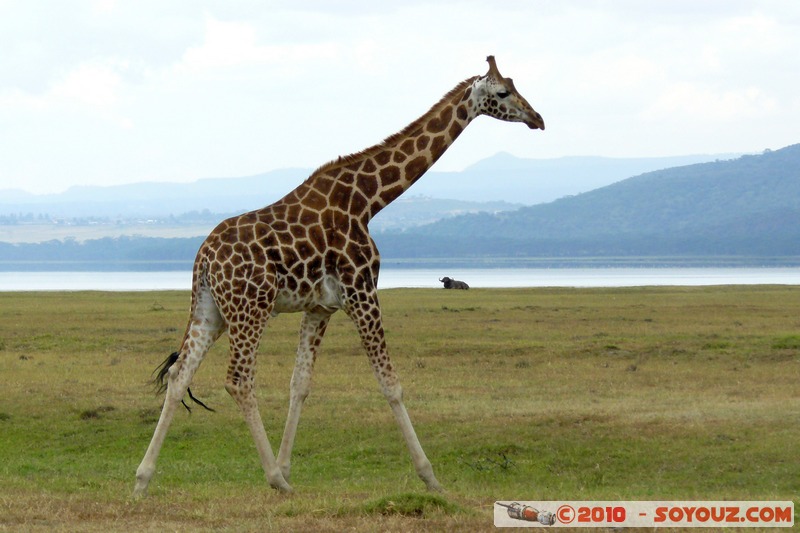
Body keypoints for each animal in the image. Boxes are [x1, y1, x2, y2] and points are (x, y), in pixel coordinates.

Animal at [134, 55, 544, 494]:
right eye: (503, 92)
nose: (537, 118)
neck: (368, 200)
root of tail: (204, 258)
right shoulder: (361, 291)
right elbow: (391, 384)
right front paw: (430, 476)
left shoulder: (321, 307)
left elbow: (300, 385)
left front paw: (288, 465)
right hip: (251, 309)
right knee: (238, 380)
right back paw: (274, 480)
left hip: (210, 311)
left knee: (178, 376)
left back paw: (143, 478)